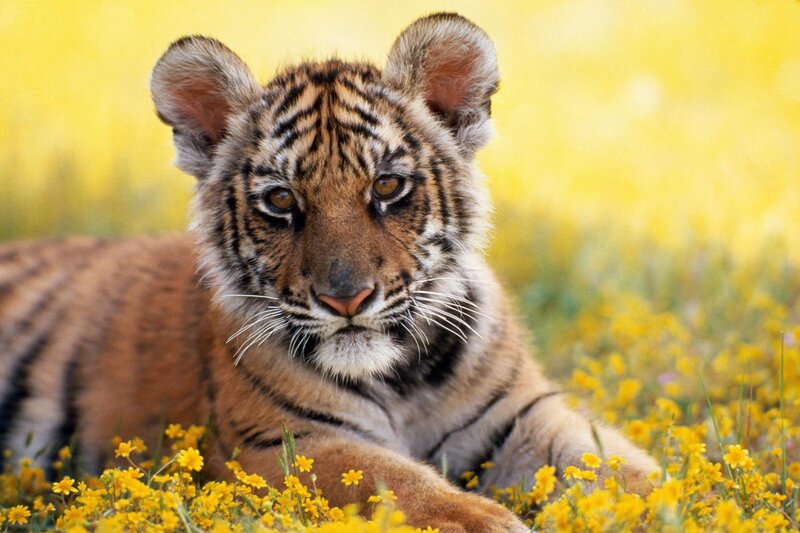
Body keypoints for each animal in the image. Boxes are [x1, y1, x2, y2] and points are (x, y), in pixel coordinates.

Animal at [0, 13, 658, 531]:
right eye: (281, 201)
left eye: (387, 187)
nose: (346, 299)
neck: (402, 379)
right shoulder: (286, 442)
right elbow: (399, 482)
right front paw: (489, 522)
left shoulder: (520, 414)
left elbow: (619, 465)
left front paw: (668, 501)